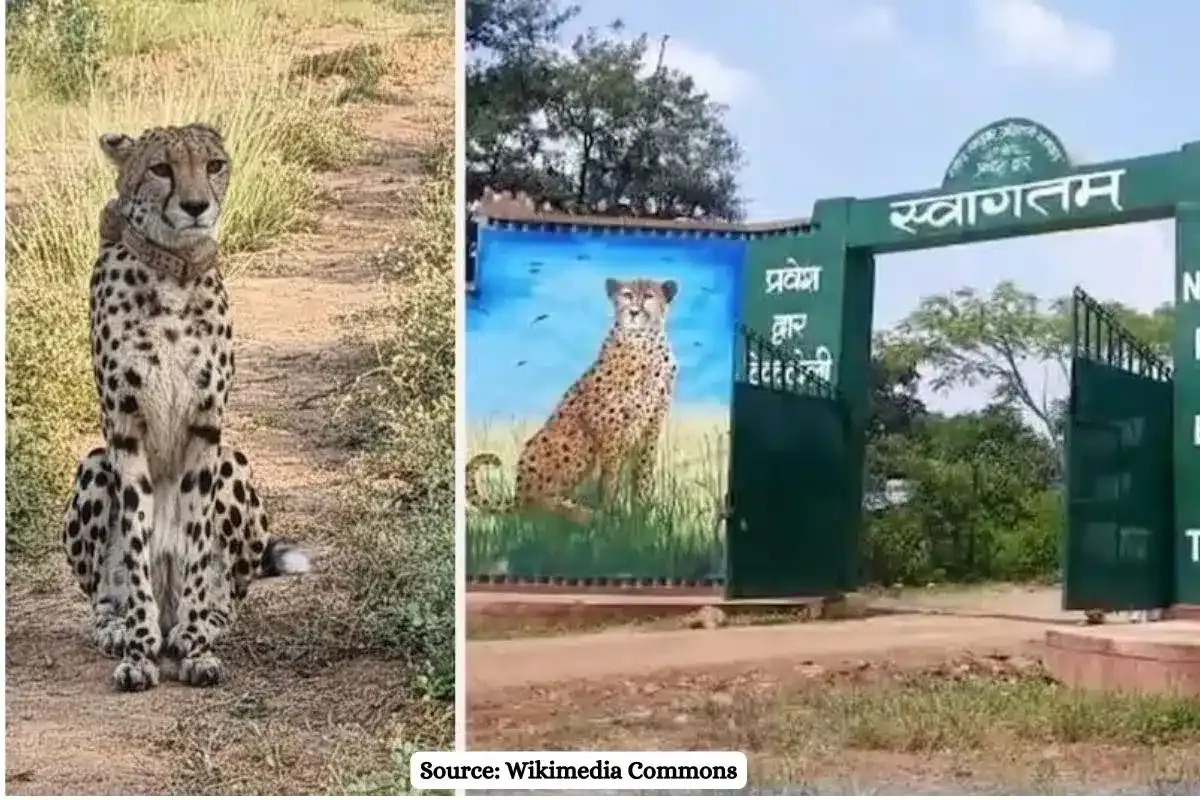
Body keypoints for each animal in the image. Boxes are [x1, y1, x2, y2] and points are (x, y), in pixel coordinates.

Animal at [64, 122, 309, 693]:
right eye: (160, 169)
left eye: (214, 164)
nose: (196, 206)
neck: (172, 276)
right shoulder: (124, 428)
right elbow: (135, 545)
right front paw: (138, 651)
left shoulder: (206, 427)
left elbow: (197, 541)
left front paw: (197, 648)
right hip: (94, 463)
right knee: (101, 597)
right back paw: (120, 627)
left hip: (234, 460)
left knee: (230, 598)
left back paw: (201, 623)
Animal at [467, 277, 679, 524]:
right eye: (626, 295)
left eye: (648, 296)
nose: (634, 312)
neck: (644, 342)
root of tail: (518, 494)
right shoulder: (609, 427)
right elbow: (610, 476)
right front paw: (611, 515)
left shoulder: (651, 426)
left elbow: (643, 473)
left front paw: (642, 515)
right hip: (578, 434)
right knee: (537, 506)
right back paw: (580, 513)